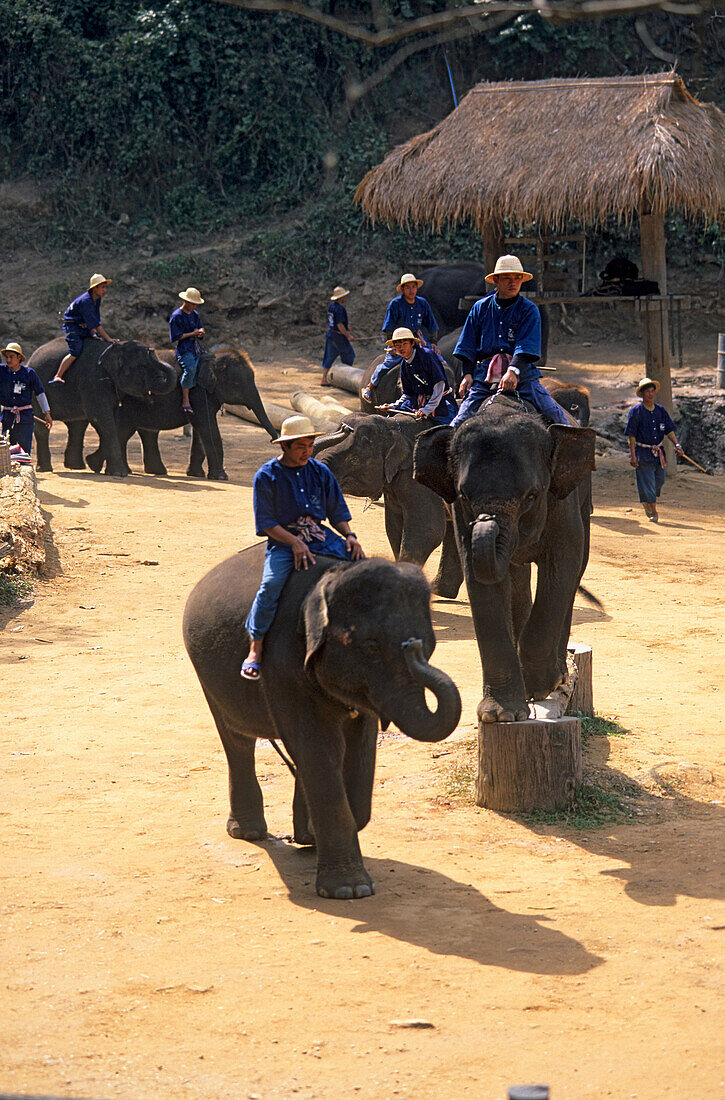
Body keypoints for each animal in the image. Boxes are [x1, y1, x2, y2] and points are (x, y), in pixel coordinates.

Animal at [28, 338, 178, 477]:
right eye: (142, 367)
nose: (151, 350)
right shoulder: (93, 381)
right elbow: (101, 418)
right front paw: (117, 473)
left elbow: (115, 423)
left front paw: (96, 465)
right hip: (37, 389)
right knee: (42, 426)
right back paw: (45, 469)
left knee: (78, 425)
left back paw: (76, 466)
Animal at [83, 345, 278, 479]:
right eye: (237, 383)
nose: (272, 440)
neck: (213, 357)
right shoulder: (198, 393)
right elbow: (207, 426)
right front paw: (221, 477)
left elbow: (201, 430)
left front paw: (196, 474)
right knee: (122, 430)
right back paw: (98, 465)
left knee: (128, 432)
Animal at [184, 554, 462, 897]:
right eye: (372, 647)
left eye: (431, 643)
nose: (413, 646)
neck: (332, 576)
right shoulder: (283, 664)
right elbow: (319, 748)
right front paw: (349, 891)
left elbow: (357, 749)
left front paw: (314, 836)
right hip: (208, 676)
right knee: (236, 740)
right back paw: (247, 833)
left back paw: (300, 835)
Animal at [312, 413, 462, 602]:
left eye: (354, 460)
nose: (345, 427)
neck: (392, 426)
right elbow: (394, 526)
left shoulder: (418, 475)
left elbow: (427, 529)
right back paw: (440, 590)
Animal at [413, 400, 594, 726]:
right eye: (463, 495)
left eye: (532, 495)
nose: (486, 521)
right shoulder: (461, 517)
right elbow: (480, 578)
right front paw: (500, 715)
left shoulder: (563, 504)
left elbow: (563, 565)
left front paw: (540, 686)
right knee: (518, 580)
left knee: (575, 572)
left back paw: (558, 678)